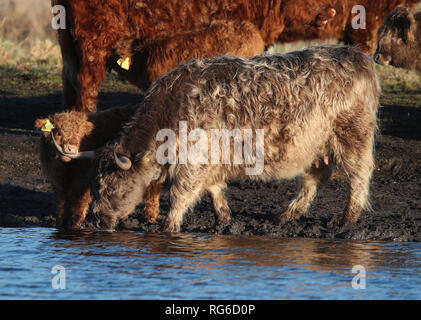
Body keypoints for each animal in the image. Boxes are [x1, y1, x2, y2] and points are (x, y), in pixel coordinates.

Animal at [88, 45, 380, 232]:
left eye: (113, 186)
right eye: (98, 185)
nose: (99, 218)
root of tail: (357, 56)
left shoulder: (193, 162)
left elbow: (180, 194)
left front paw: (169, 226)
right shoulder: (210, 161)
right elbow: (214, 189)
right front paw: (224, 218)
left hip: (352, 135)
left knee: (359, 175)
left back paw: (348, 218)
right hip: (316, 146)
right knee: (313, 179)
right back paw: (287, 216)